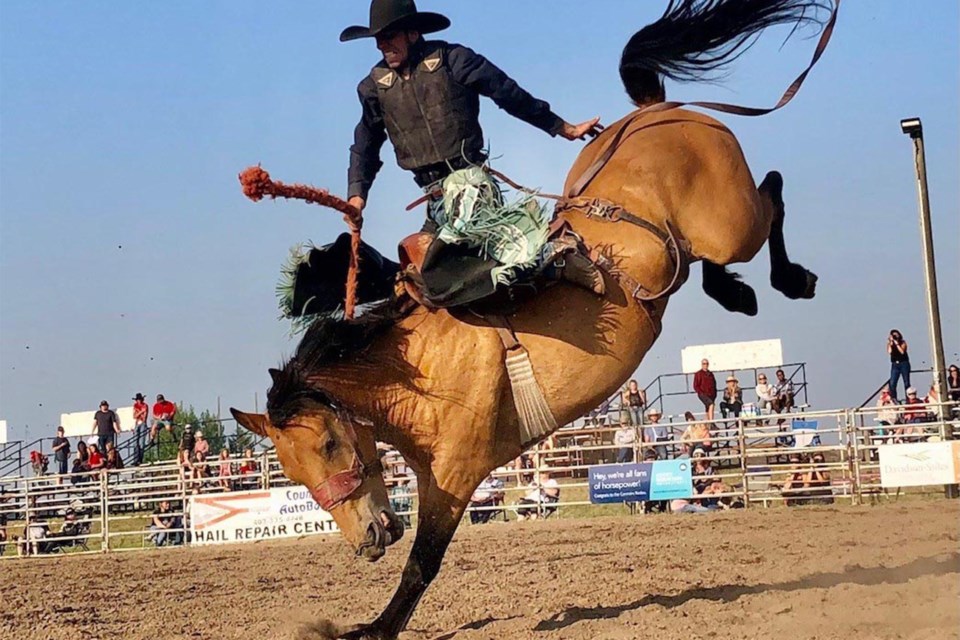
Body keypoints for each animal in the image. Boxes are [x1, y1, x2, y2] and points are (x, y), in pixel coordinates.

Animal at [234, 2, 840, 636]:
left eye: (330, 443)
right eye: (291, 472)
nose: (370, 540)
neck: (419, 370)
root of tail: (656, 112)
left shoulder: (456, 476)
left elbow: (423, 562)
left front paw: (374, 627)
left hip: (733, 222)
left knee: (772, 191)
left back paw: (789, 280)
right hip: (702, 240)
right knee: (716, 252)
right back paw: (736, 292)